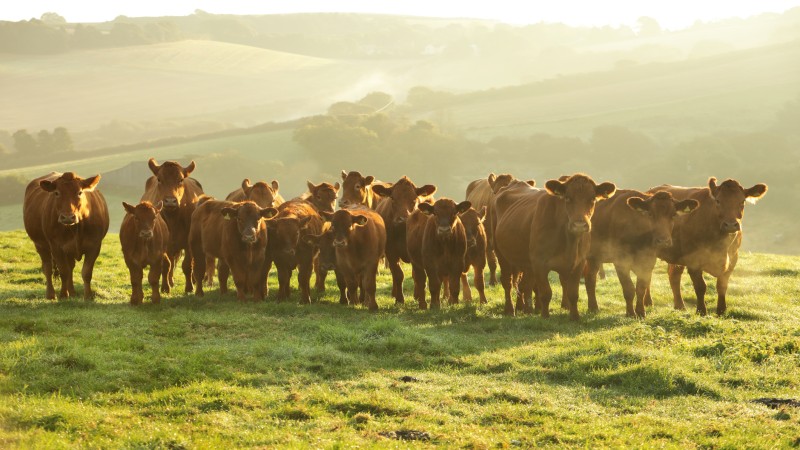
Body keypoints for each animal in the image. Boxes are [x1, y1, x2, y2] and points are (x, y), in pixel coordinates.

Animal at [23, 172, 109, 300]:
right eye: (57, 193)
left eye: (79, 192)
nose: (68, 217)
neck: (76, 228)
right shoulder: (56, 247)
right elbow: (64, 271)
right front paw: (63, 295)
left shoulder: (94, 246)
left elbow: (86, 272)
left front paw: (88, 296)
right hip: (40, 245)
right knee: (48, 268)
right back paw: (51, 294)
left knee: (70, 267)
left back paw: (72, 292)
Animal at [140, 158, 204, 293]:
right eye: (159, 179)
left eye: (180, 179)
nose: (170, 201)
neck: (173, 219)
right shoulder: (163, 245)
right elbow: (166, 265)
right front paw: (165, 287)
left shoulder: (188, 243)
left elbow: (187, 265)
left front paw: (189, 287)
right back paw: (170, 281)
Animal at [372, 177, 437, 305]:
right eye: (392, 198)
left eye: (414, 199)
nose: (402, 219)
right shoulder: (391, 252)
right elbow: (398, 274)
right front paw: (399, 299)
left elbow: (416, 275)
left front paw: (418, 296)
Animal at [645, 177, 767, 316]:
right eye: (718, 201)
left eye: (742, 201)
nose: (730, 225)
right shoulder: (694, 261)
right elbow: (700, 287)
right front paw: (701, 311)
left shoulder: (733, 258)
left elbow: (722, 285)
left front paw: (721, 311)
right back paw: (648, 302)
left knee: (674, 276)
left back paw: (680, 306)